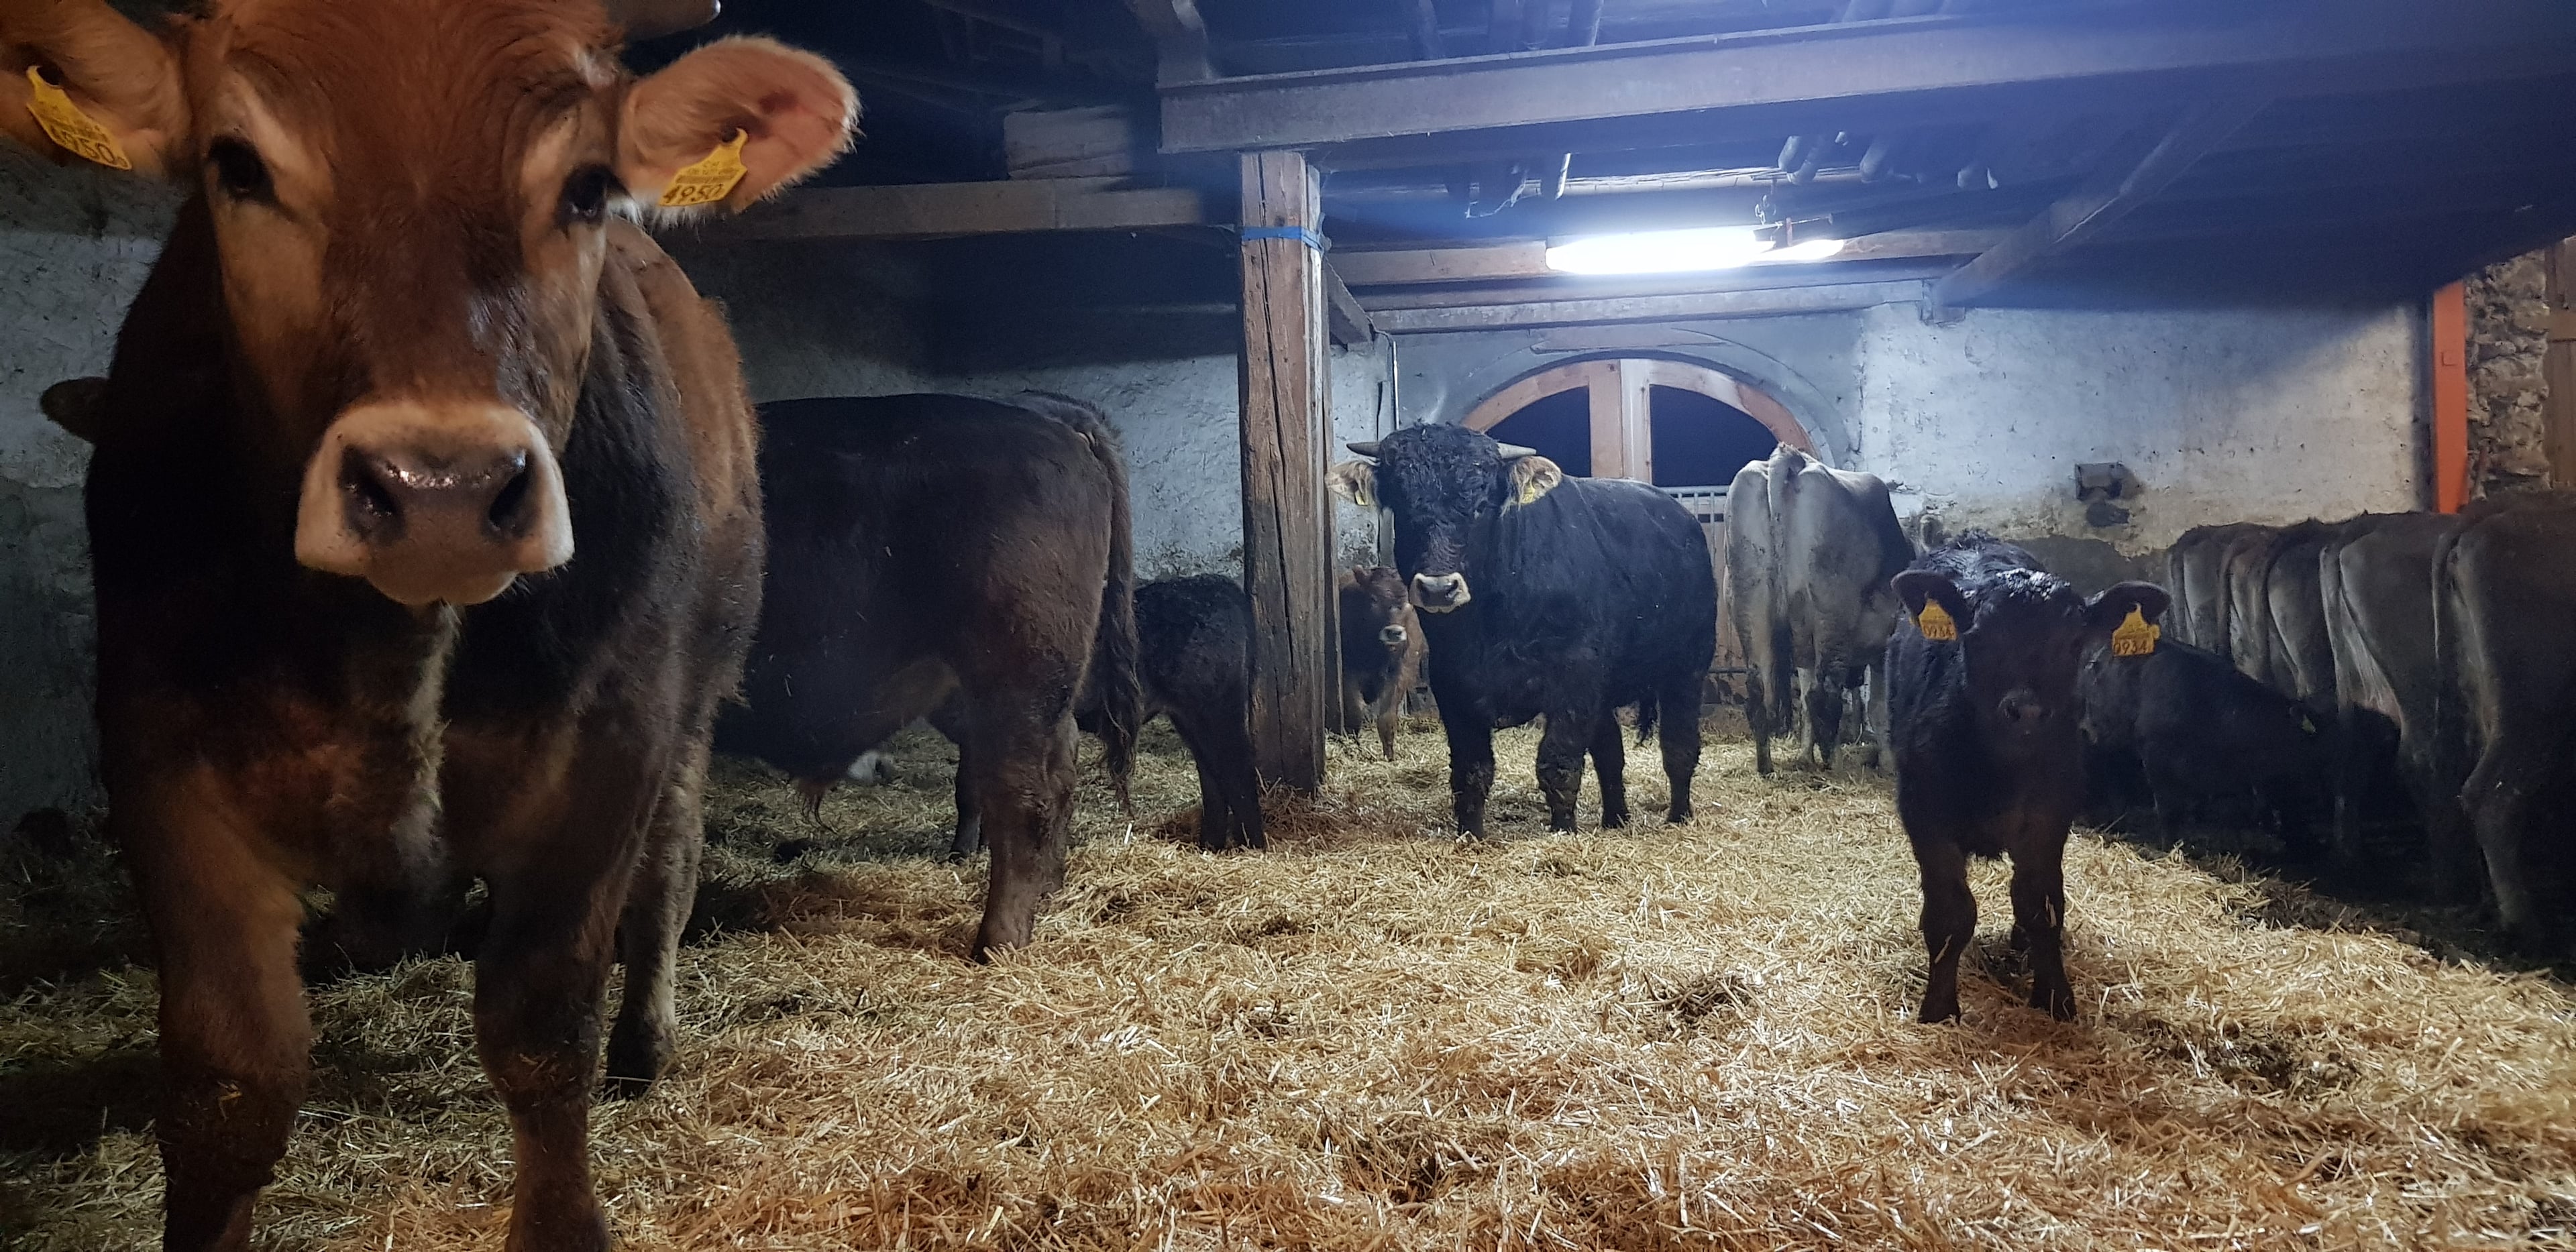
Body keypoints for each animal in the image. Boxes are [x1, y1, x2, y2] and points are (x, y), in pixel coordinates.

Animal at [2, 1, 855, 1247]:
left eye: (589, 186)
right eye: (236, 165)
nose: (441, 486)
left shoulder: (610, 746)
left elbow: (544, 1033)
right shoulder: (159, 755)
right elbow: (228, 1080)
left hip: (697, 687)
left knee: (672, 858)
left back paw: (647, 1041)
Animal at [1339, 565, 1425, 760]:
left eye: (1409, 602)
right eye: (1373, 598)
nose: (1394, 632)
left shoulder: (1400, 672)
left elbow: (1387, 718)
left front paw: (1390, 757)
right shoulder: (1348, 671)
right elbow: (1355, 711)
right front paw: (1354, 749)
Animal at [1725, 444, 1913, 774]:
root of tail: (1789, 460)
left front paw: (1804, 755)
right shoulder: (1883, 644)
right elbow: (1879, 707)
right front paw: (1888, 765)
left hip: (1751, 603)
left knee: (1761, 688)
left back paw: (1767, 764)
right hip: (1831, 615)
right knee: (1827, 694)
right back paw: (1834, 764)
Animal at [1887, 534, 2168, 1022]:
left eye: (2075, 642)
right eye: (1977, 637)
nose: (2028, 710)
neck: (2001, 768)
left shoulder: (2049, 814)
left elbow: (2041, 905)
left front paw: (2056, 998)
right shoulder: (1925, 812)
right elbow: (1950, 913)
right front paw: (1939, 1006)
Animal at [2318, 512, 2471, 893]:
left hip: (2357, 688)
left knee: (2351, 755)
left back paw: (2351, 862)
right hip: (2419, 686)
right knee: (2425, 761)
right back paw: (2453, 881)